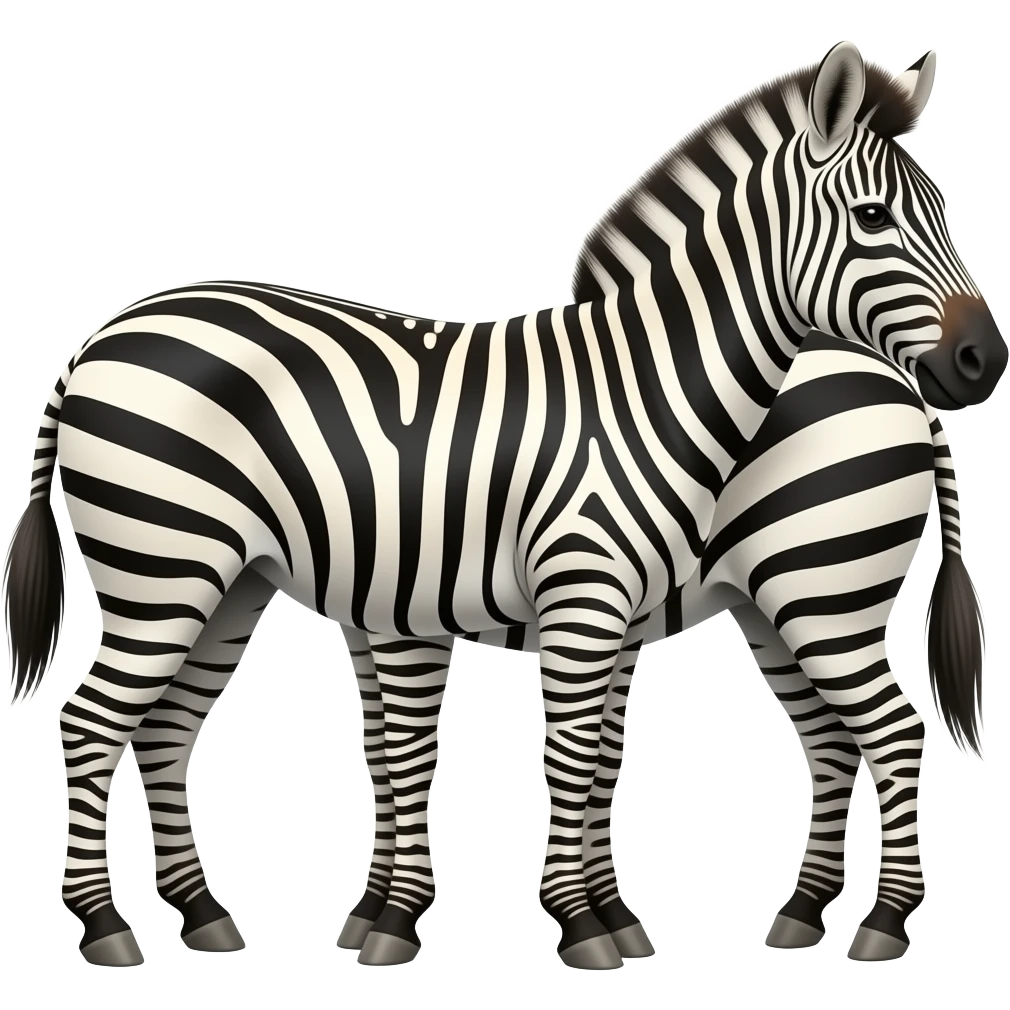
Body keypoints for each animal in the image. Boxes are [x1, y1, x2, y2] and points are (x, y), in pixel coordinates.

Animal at [1, 41, 1005, 971]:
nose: (982, 363)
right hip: (172, 567)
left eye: (945, 210)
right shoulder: (555, 599)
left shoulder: (568, 607)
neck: (644, 386)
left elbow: (554, 755)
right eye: (874, 217)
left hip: (803, 589)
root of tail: (94, 343)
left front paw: (543, 917)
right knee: (96, 721)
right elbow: (531, 755)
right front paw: (572, 924)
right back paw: (110, 926)